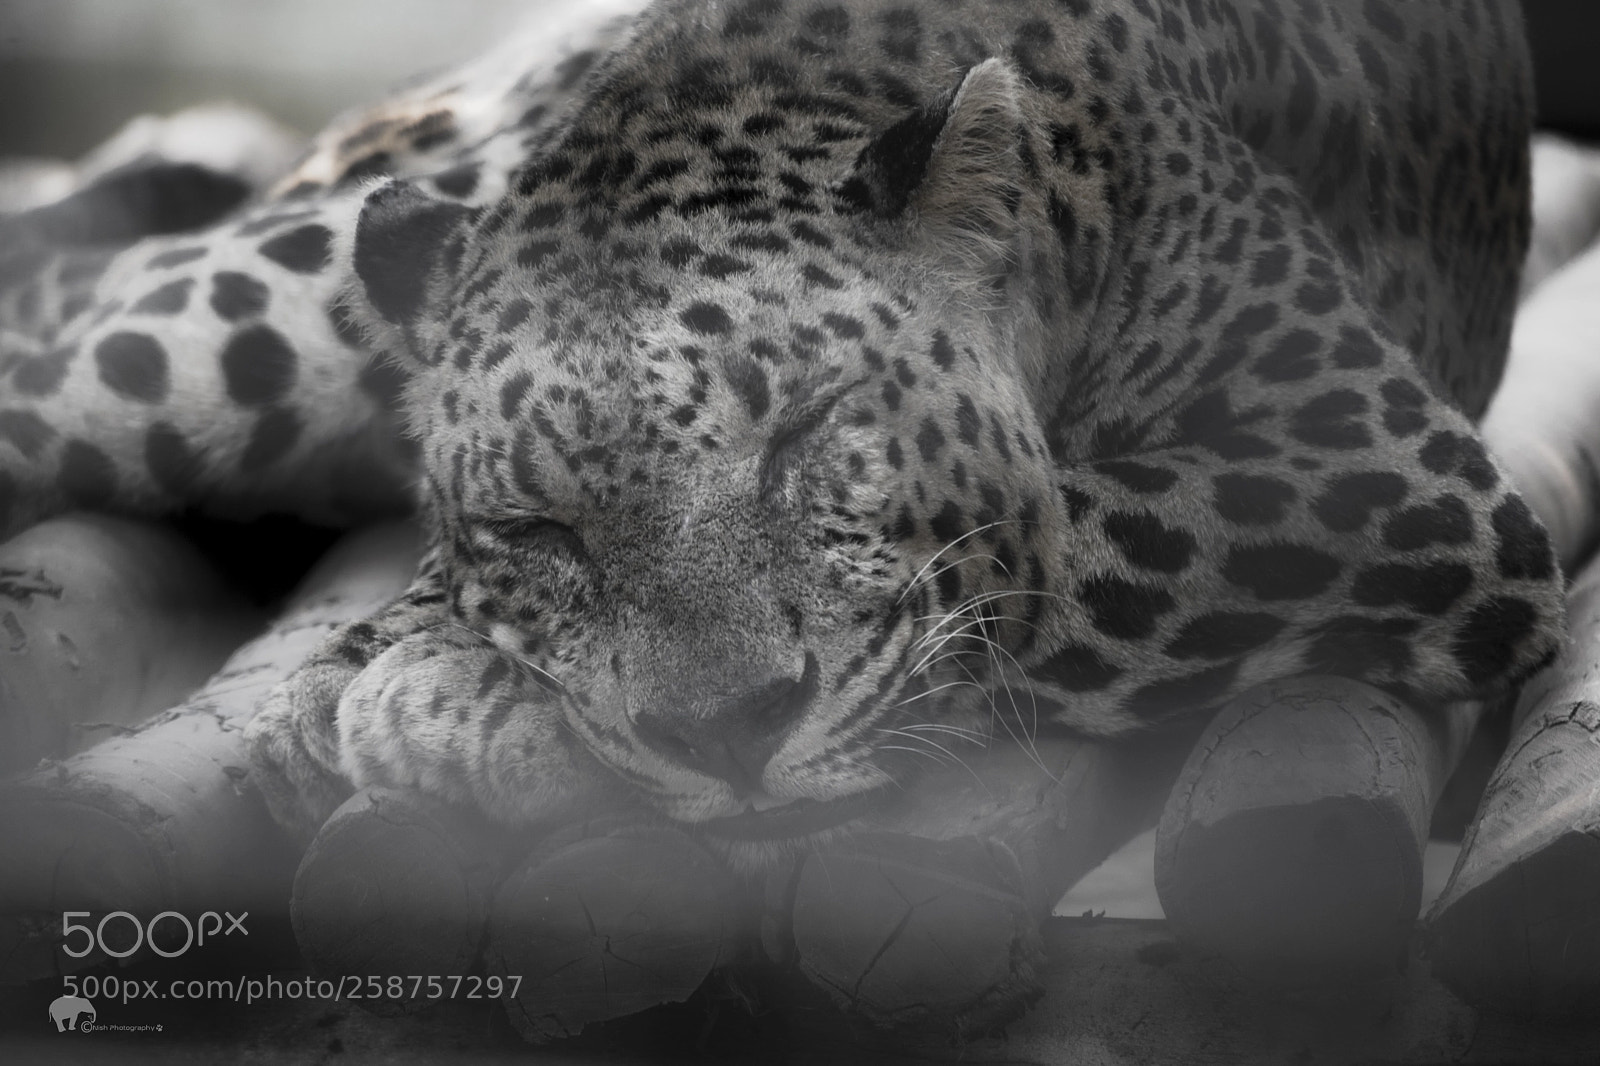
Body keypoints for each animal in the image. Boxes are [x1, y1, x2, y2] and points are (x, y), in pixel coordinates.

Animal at [0, 0, 1565, 876]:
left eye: (810, 431)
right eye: (535, 526)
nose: (724, 735)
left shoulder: (1363, 458)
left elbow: (1022, 564)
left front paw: (441, 685)